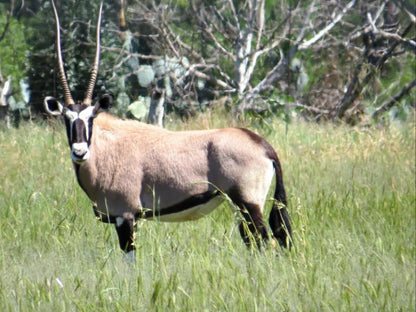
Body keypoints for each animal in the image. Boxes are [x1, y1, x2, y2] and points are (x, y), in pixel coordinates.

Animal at [44, 0, 292, 258]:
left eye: (91, 117)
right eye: (66, 118)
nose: (80, 152)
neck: (107, 149)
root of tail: (261, 144)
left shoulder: (126, 217)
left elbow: (130, 259)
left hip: (249, 204)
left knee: (267, 243)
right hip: (238, 207)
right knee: (253, 244)